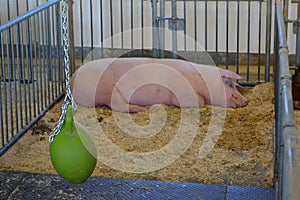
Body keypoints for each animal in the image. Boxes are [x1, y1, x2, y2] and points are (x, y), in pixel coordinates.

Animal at [70, 57, 248, 112]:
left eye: (235, 84)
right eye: (228, 84)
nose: (247, 100)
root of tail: (72, 80)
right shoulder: (182, 92)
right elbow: (201, 101)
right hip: (105, 86)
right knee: (116, 105)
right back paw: (141, 109)